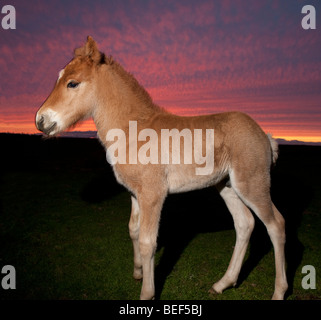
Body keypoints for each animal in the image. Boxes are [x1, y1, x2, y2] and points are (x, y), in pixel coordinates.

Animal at [35, 37, 288, 300]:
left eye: (72, 83)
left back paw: (278, 292)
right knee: (244, 224)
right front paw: (138, 272)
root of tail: (264, 135)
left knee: (276, 225)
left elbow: (148, 242)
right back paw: (223, 283)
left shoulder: (153, 194)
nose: (41, 121)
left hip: (252, 184)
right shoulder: (135, 193)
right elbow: (133, 230)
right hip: (227, 186)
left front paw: (147, 293)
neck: (133, 129)